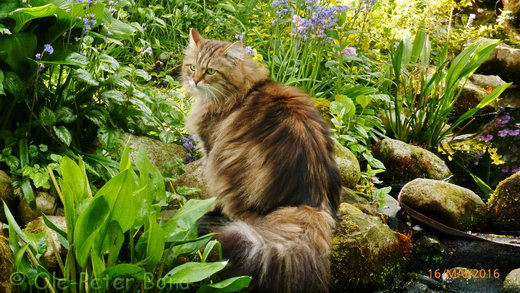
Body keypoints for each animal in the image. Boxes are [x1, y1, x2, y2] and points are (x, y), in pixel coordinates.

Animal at [182, 28, 342, 292]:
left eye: (211, 71)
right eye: (192, 67)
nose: (195, 80)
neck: (244, 89)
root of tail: (312, 199)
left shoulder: (211, 150)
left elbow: (213, 194)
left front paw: (208, 206)